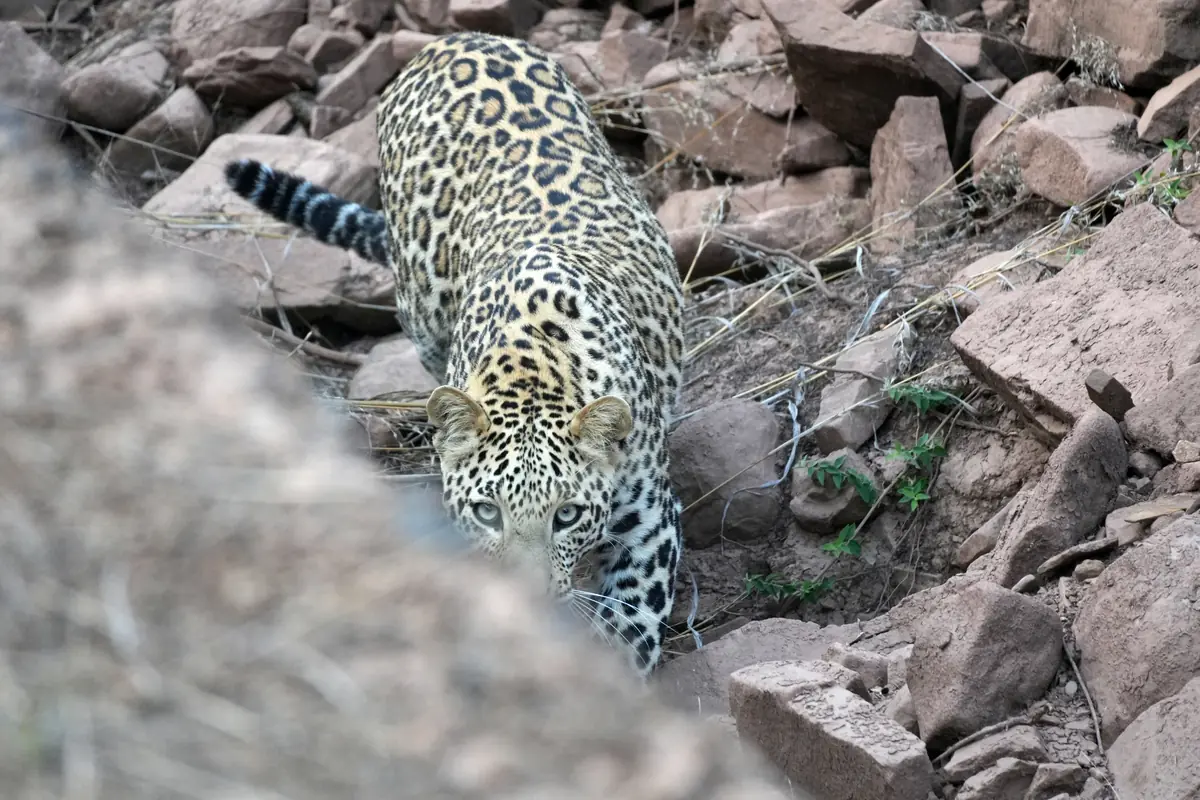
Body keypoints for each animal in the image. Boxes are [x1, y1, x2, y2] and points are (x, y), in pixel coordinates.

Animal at [223, 31, 685, 677]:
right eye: (487, 512)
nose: (532, 598)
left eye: (566, 515)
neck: (533, 365)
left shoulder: (649, 525)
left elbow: (627, 631)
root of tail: (449, 40)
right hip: (420, 312)